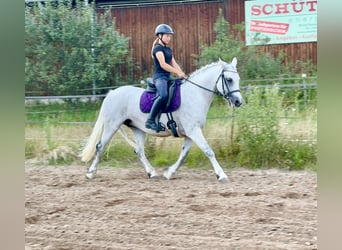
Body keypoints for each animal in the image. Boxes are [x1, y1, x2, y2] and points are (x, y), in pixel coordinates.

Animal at [81, 58, 243, 184]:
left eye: (238, 79)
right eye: (229, 80)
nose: (238, 101)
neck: (196, 94)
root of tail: (112, 93)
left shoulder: (190, 133)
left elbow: (183, 156)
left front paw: (169, 173)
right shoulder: (194, 131)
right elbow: (208, 151)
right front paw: (221, 175)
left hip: (138, 129)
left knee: (139, 151)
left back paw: (152, 173)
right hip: (112, 125)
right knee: (100, 146)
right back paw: (90, 173)